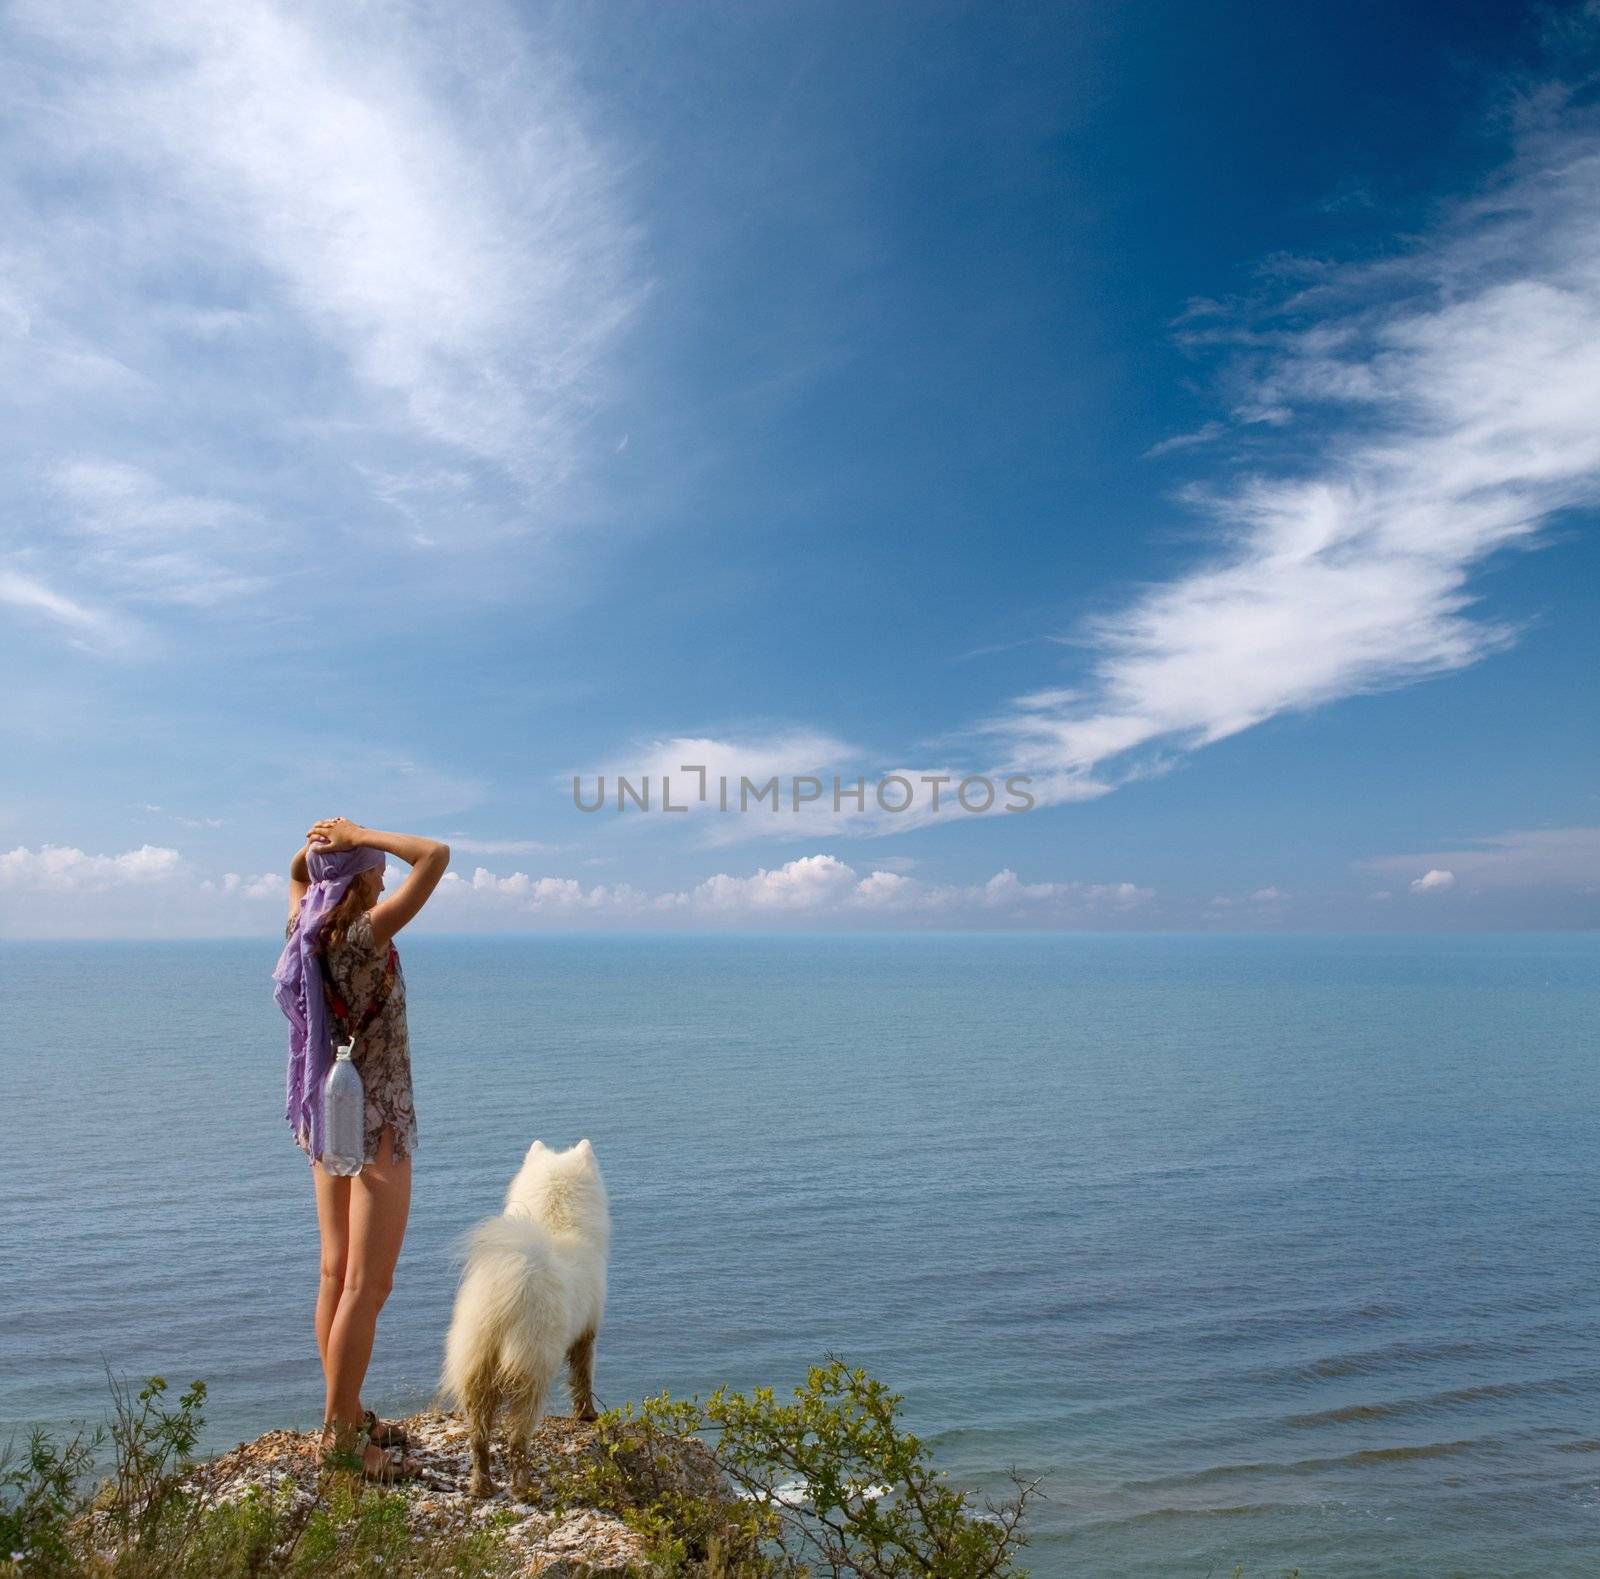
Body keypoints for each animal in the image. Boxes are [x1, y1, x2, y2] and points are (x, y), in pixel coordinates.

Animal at [438, 1139, 611, 1497]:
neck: (556, 1222)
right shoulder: (587, 1333)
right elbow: (583, 1378)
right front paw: (588, 1416)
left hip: (475, 1366)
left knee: (478, 1437)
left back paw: (482, 1486)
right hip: (531, 1369)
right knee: (518, 1438)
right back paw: (524, 1486)